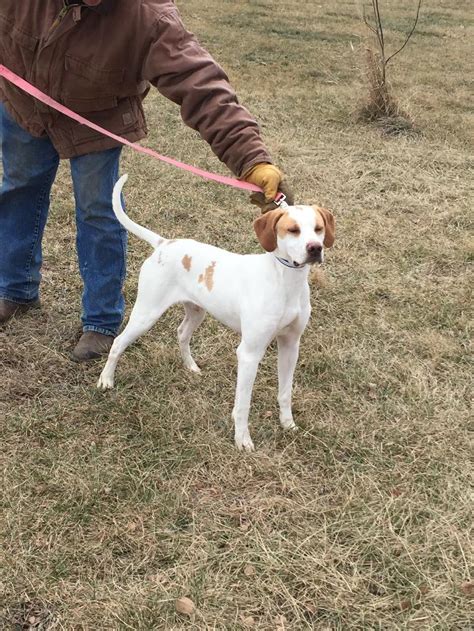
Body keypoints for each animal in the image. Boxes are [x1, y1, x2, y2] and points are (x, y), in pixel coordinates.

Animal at [97, 174, 334, 450]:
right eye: (293, 230)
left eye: (318, 228)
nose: (315, 248)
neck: (285, 281)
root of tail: (164, 243)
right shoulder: (249, 353)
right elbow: (244, 404)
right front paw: (242, 440)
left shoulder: (290, 345)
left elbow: (285, 392)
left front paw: (288, 425)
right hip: (147, 313)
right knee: (118, 342)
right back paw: (106, 380)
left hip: (196, 311)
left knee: (181, 333)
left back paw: (191, 366)